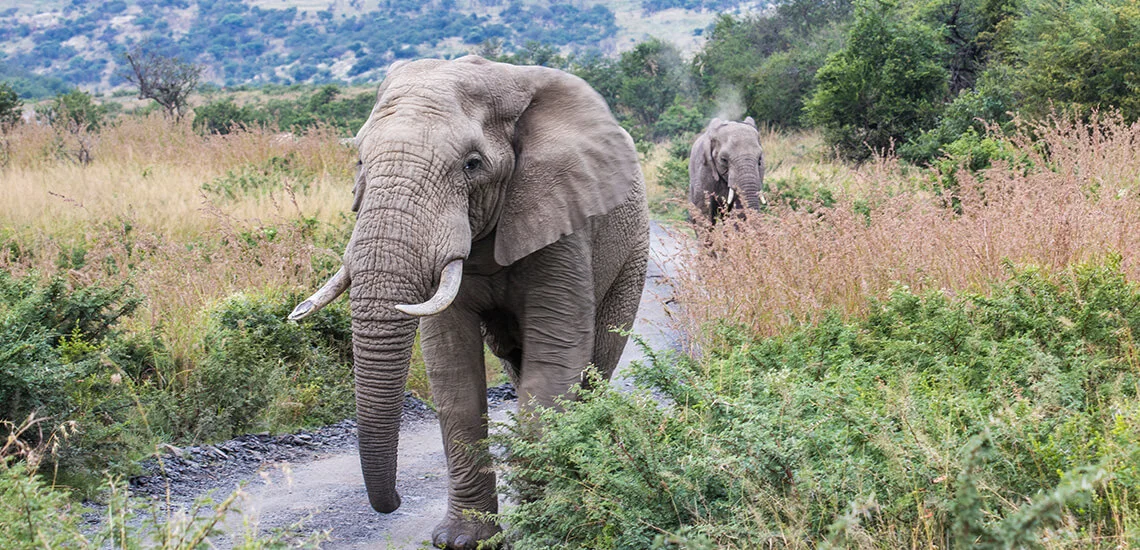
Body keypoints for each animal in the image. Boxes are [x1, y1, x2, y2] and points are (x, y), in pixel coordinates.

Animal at [288, 56, 649, 549]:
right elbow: (452, 370)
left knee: (595, 367)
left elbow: (554, 363)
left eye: (472, 164)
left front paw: (544, 526)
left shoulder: (563, 222)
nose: (393, 502)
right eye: (359, 159)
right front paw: (462, 540)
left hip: (633, 252)